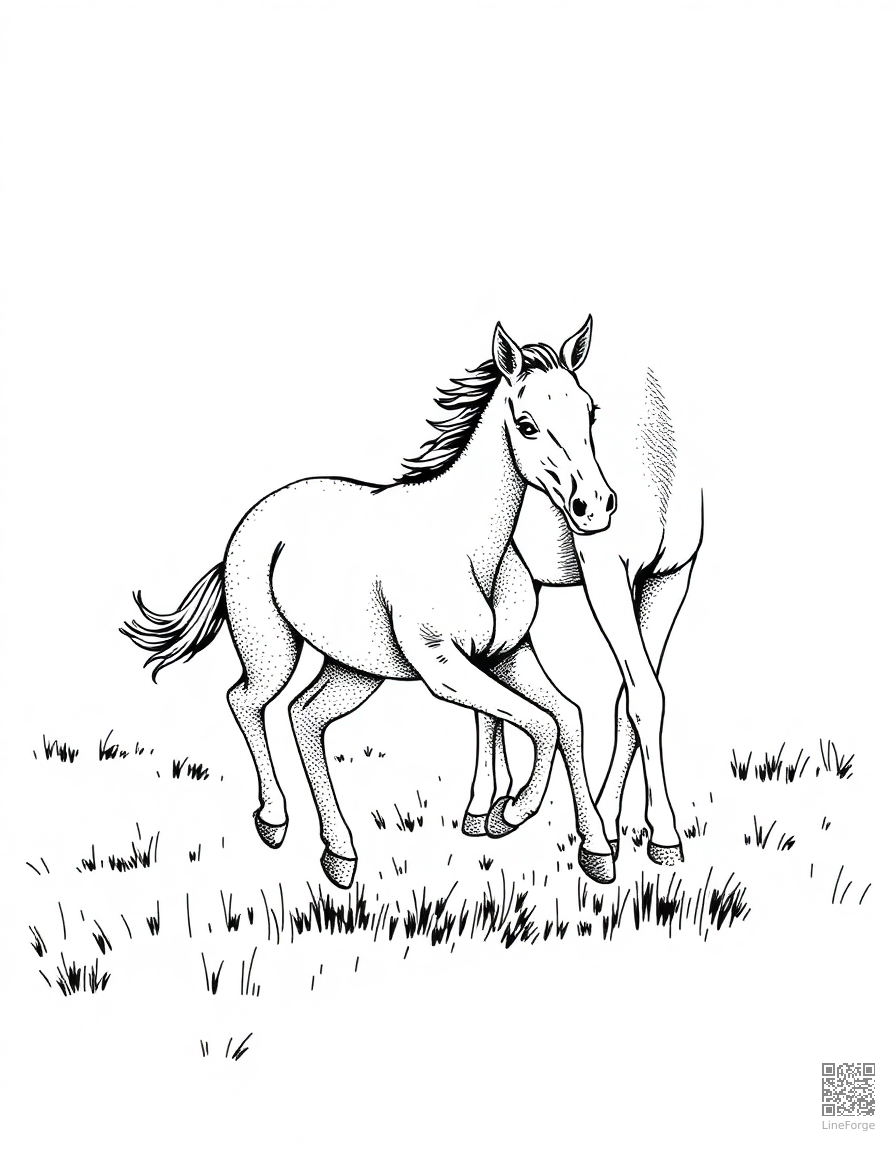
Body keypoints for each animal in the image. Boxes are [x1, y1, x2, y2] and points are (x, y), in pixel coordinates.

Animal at [121, 319, 620, 888]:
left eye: (591, 411)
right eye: (527, 424)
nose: (595, 507)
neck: (469, 545)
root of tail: (251, 520)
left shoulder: (505, 657)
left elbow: (564, 718)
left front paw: (582, 848)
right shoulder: (443, 669)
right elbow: (541, 722)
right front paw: (510, 812)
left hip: (355, 667)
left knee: (304, 717)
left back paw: (339, 855)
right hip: (272, 652)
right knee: (246, 701)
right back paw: (276, 822)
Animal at [464, 362, 703, 865]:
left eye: (591, 412)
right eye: (527, 424)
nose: (593, 506)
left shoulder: (671, 575)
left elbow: (633, 702)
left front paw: (610, 827)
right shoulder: (607, 573)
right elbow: (645, 696)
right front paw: (664, 836)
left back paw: (495, 808)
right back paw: (482, 807)